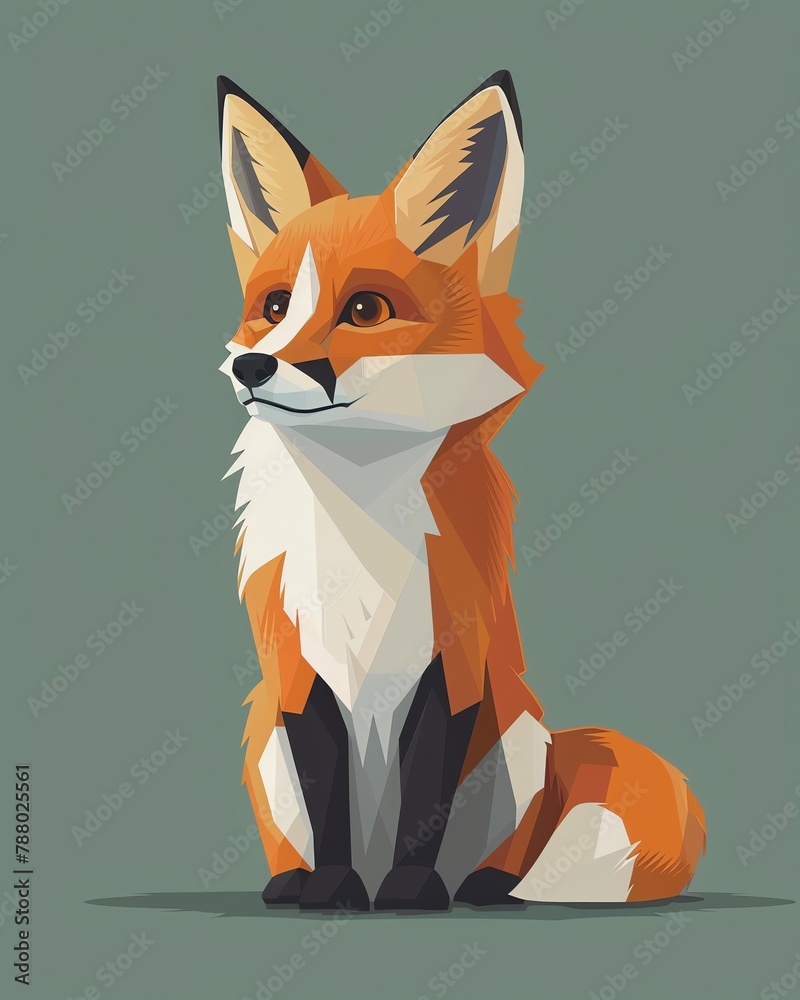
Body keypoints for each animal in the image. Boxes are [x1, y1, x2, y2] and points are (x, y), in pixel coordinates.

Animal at [216, 71, 706, 911]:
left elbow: (424, 793)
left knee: (510, 850)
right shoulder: (299, 670)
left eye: (365, 310)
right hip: (263, 740)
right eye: (274, 309)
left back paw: (480, 884)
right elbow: (328, 791)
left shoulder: (452, 663)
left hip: (517, 747)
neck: (358, 524)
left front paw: (411, 890)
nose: (253, 367)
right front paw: (333, 888)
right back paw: (293, 880)